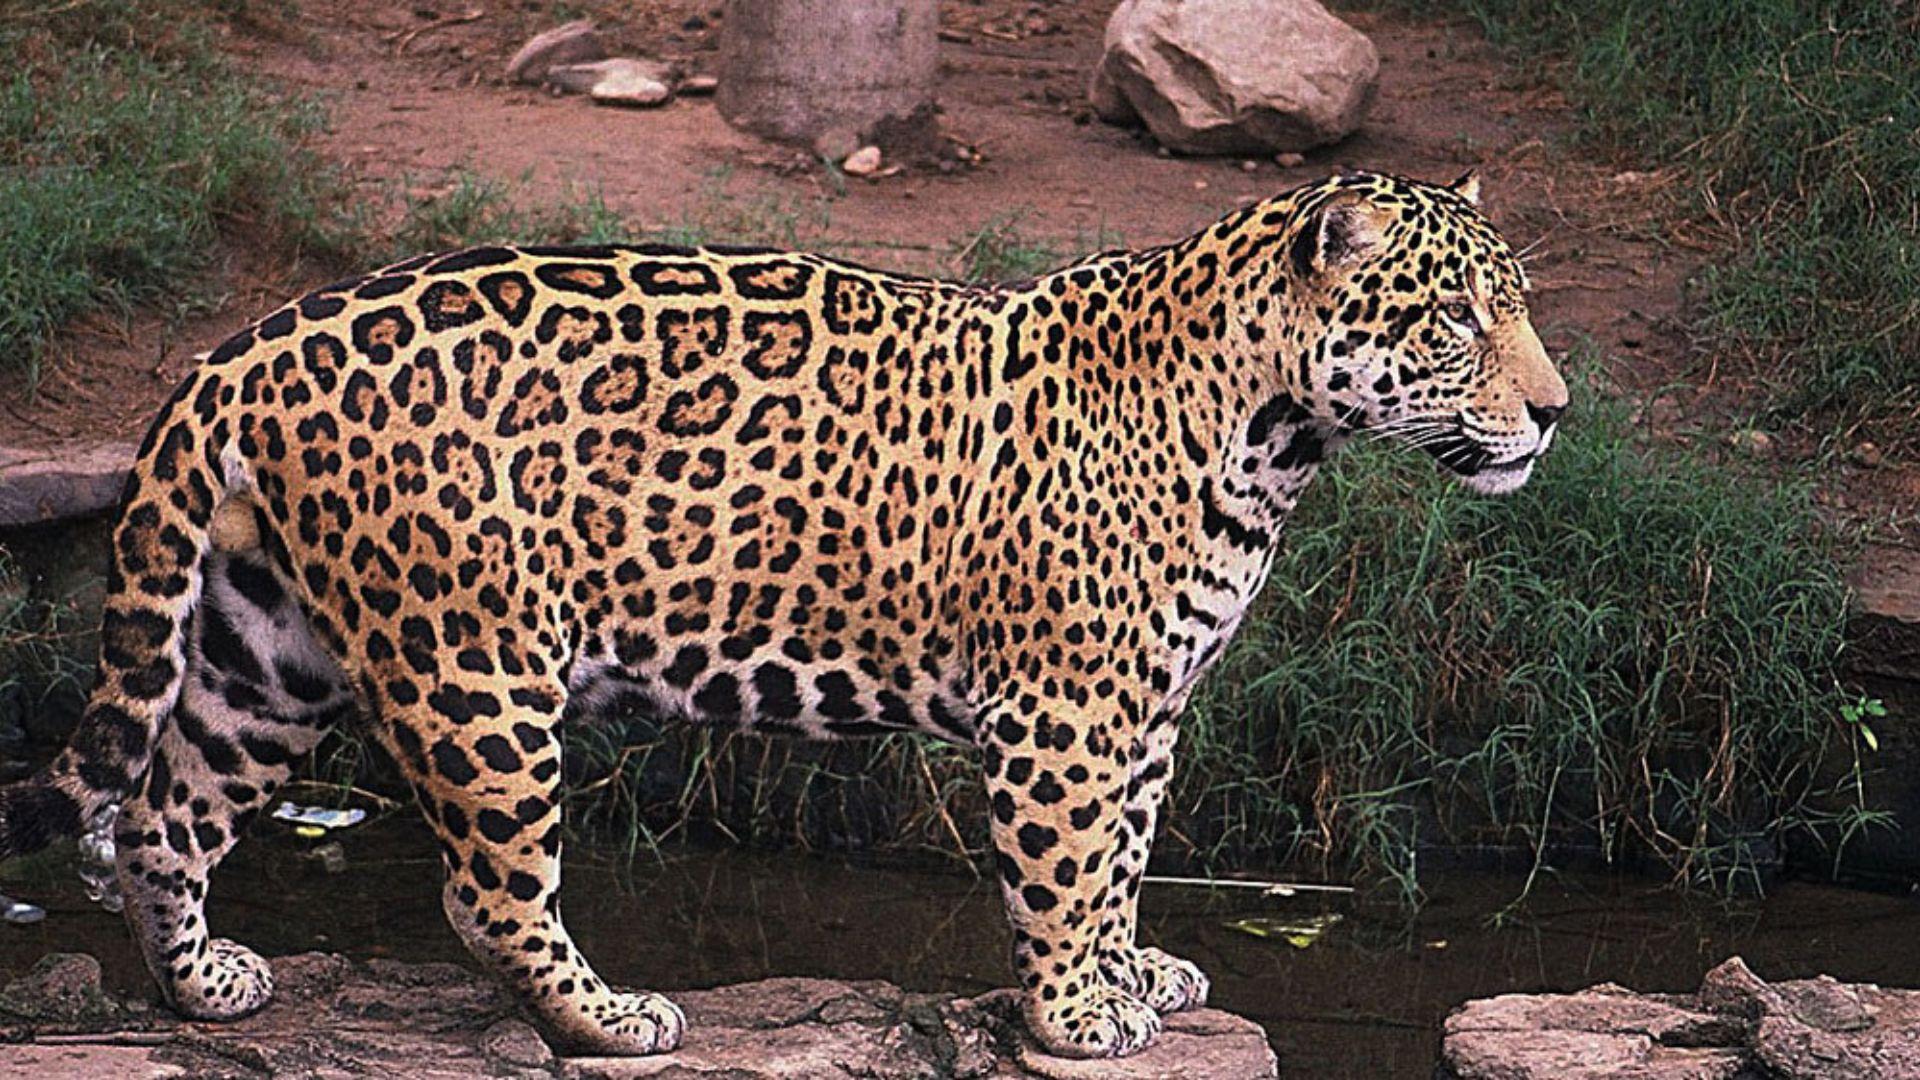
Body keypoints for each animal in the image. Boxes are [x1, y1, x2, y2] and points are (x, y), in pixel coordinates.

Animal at [0, 170, 1566, 1059]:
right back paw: (610, 1021)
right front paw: (1075, 1016)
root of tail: (241, 345)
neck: (1274, 435)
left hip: (273, 651)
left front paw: (1133, 971)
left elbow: (1124, 860)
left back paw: (202, 988)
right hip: (474, 667)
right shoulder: (1068, 708)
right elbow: (1065, 871)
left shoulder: (1151, 705)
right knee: (484, 891)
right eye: (1453, 320)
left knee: (162, 811)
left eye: (1519, 307)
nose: (1556, 413)